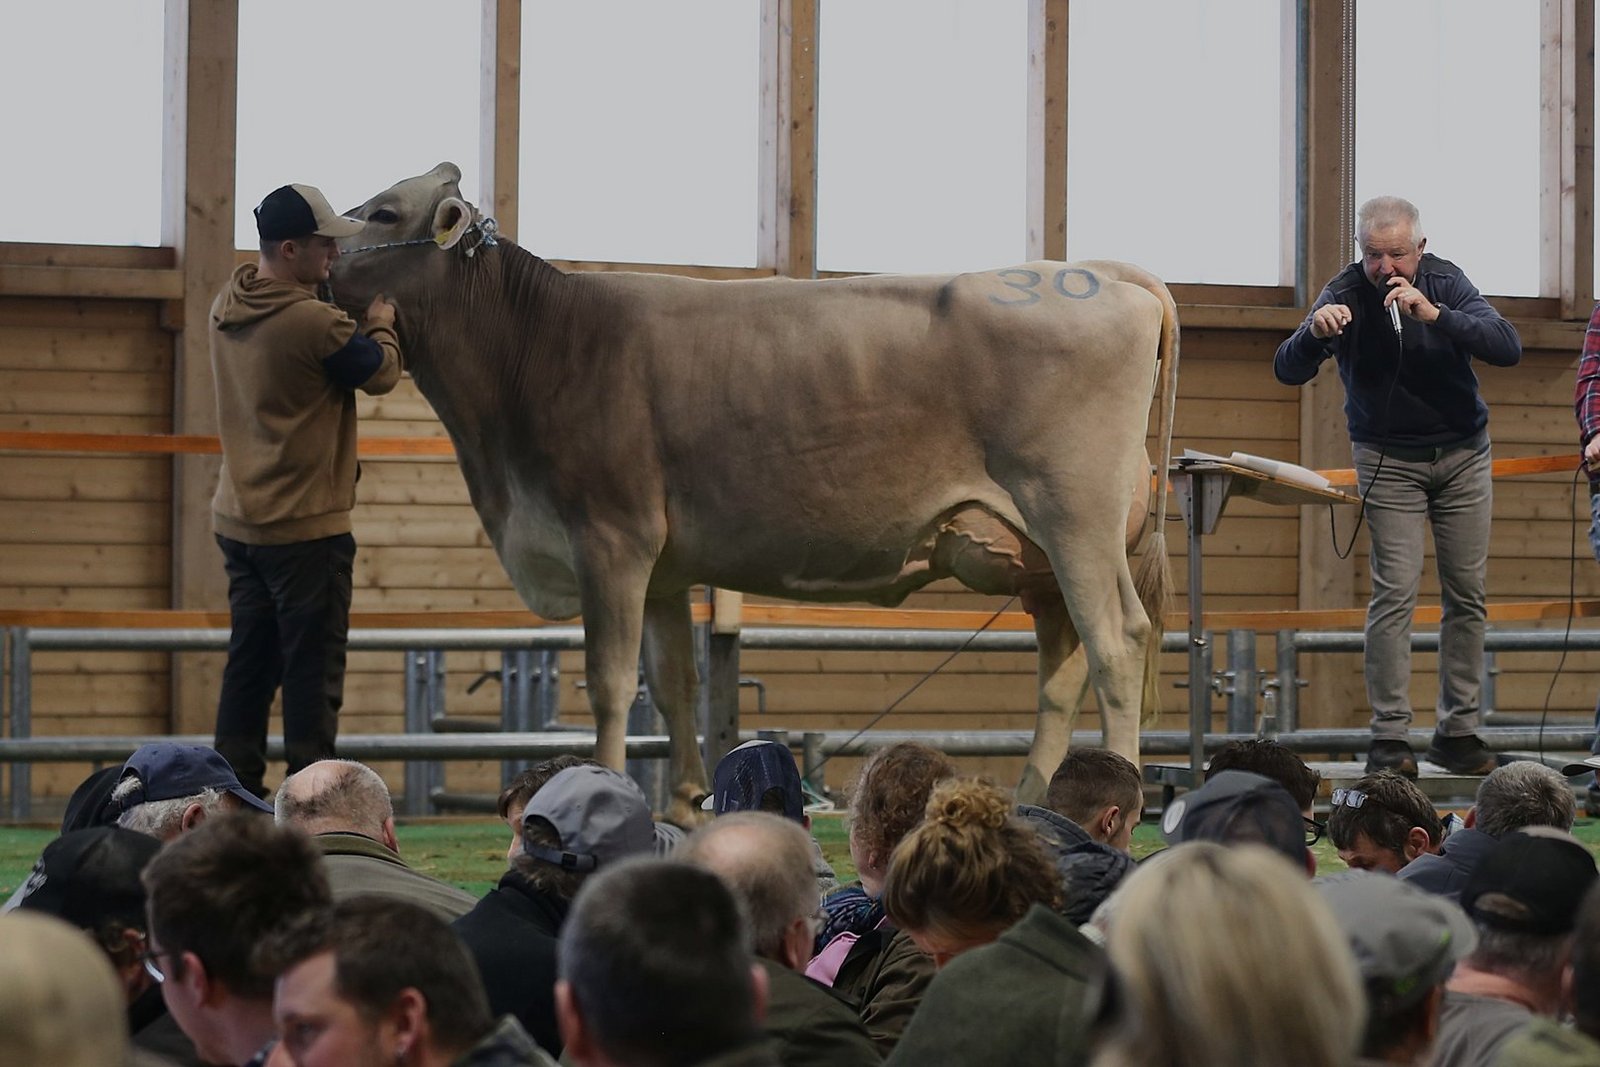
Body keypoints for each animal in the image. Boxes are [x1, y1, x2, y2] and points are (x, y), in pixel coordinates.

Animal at [330, 163, 1178, 824]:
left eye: (382, 211)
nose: (321, 258)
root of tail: (1100, 272)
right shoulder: (662, 566)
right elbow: (675, 684)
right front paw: (683, 803)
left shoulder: (610, 536)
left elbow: (610, 682)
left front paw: (606, 784)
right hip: (1039, 555)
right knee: (1062, 665)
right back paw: (1035, 796)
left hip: (1075, 515)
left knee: (1117, 642)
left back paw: (1122, 794)